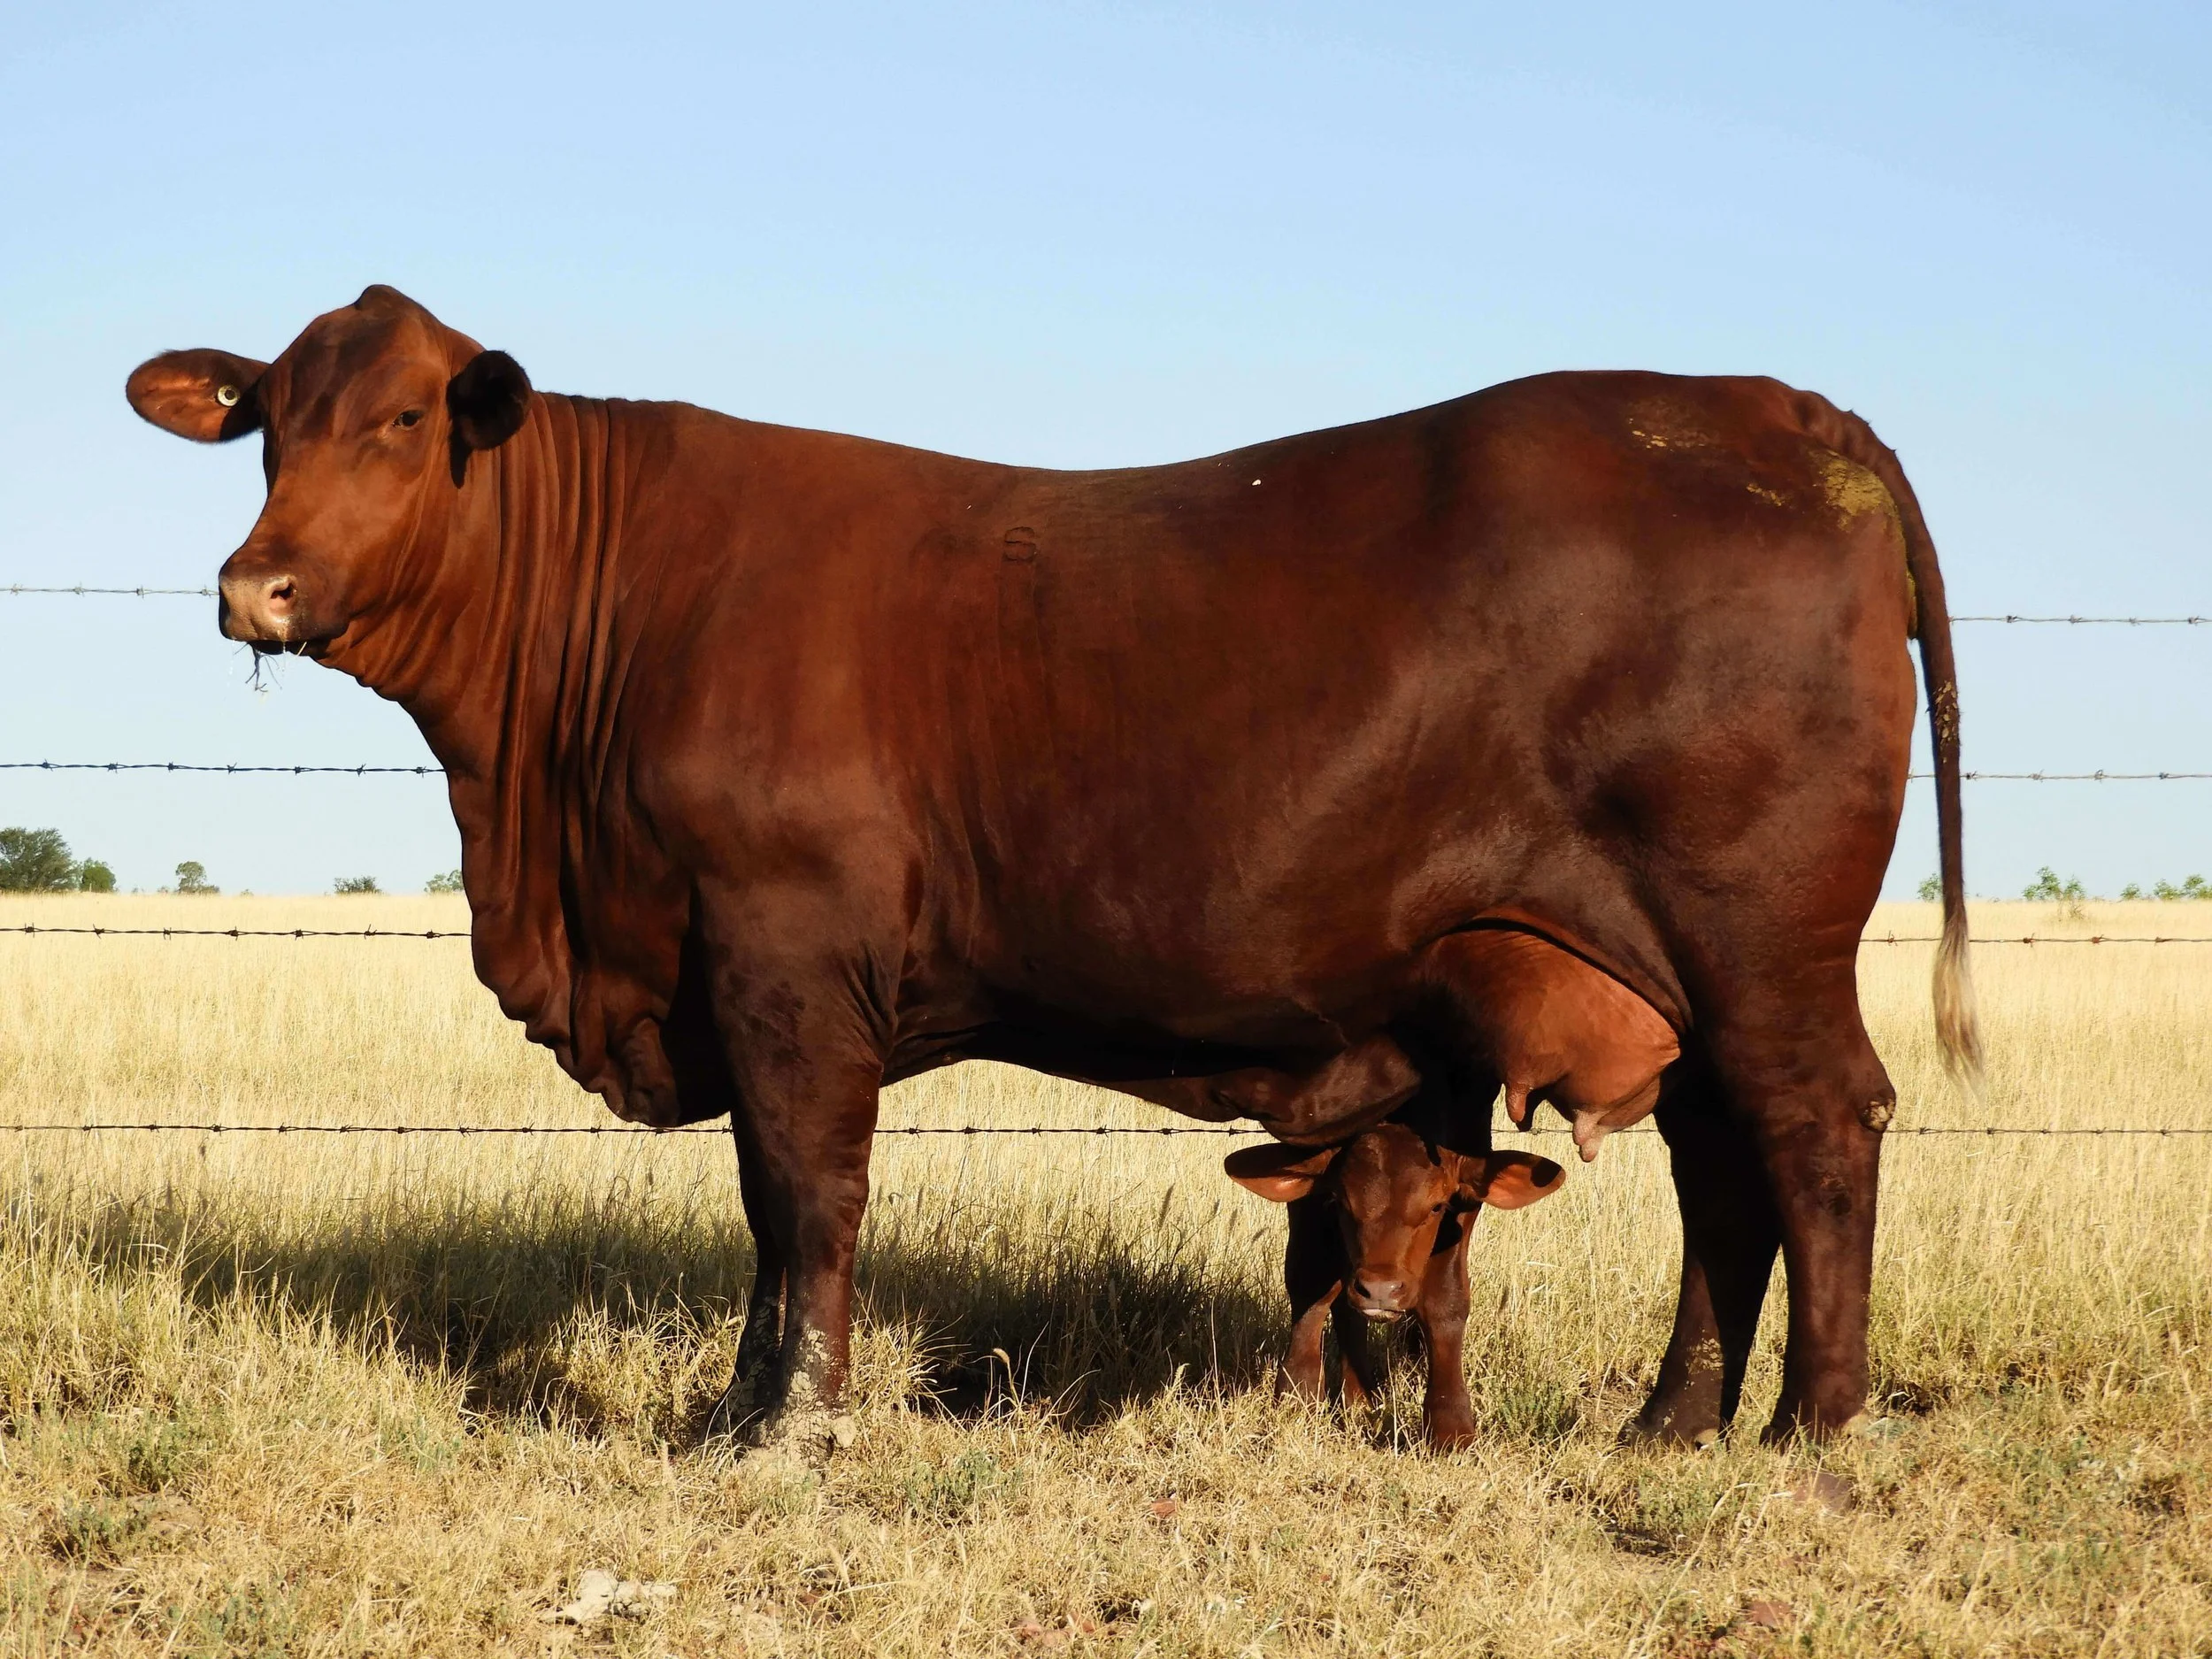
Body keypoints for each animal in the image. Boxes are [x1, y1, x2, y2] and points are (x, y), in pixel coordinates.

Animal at [1226, 1131, 1565, 1448]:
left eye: (1437, 1206)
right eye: (1339, 1201)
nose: (1380, 1290)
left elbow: (1446, 1300)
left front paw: (1451, 1429)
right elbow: (1311, 1284)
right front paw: (1296, 1400)